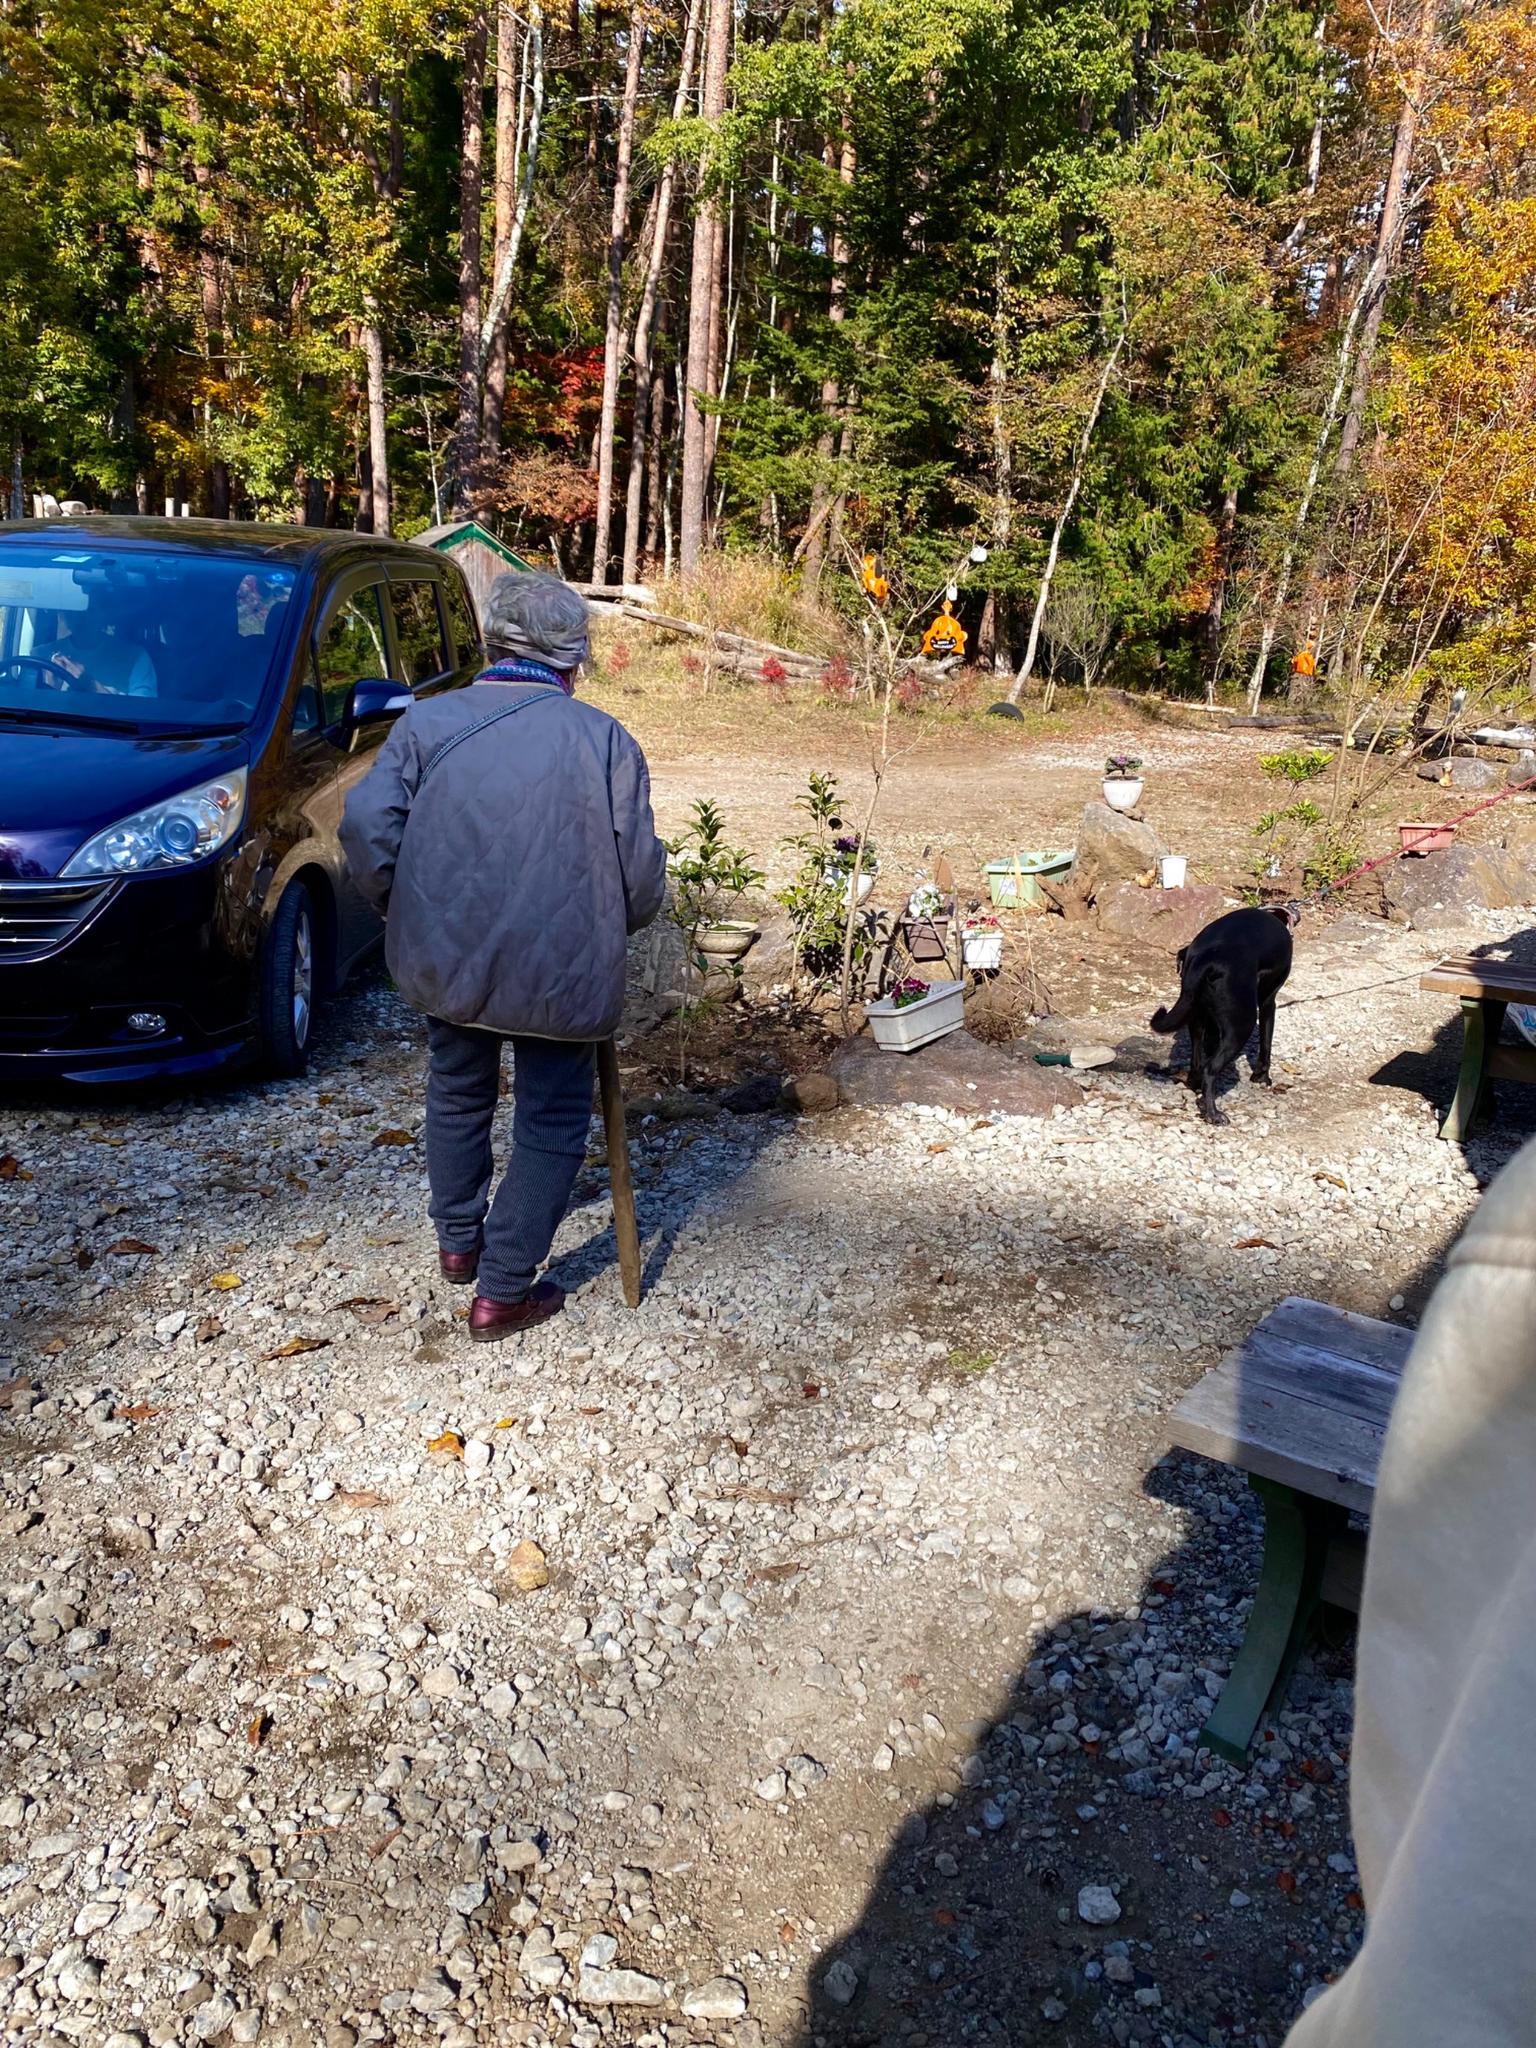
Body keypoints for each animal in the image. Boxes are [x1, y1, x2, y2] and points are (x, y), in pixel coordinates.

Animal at [1155, 909, 1302, 1130]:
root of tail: (1206, 961)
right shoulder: (1268, 1002)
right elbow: (1266, 1046)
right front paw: (1262, 1077)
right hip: (1242, 1025)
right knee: (1209, 1070)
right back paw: (1213, 1114)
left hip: (1196, 1017)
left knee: (1197, 1063)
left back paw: (1195, 1086)